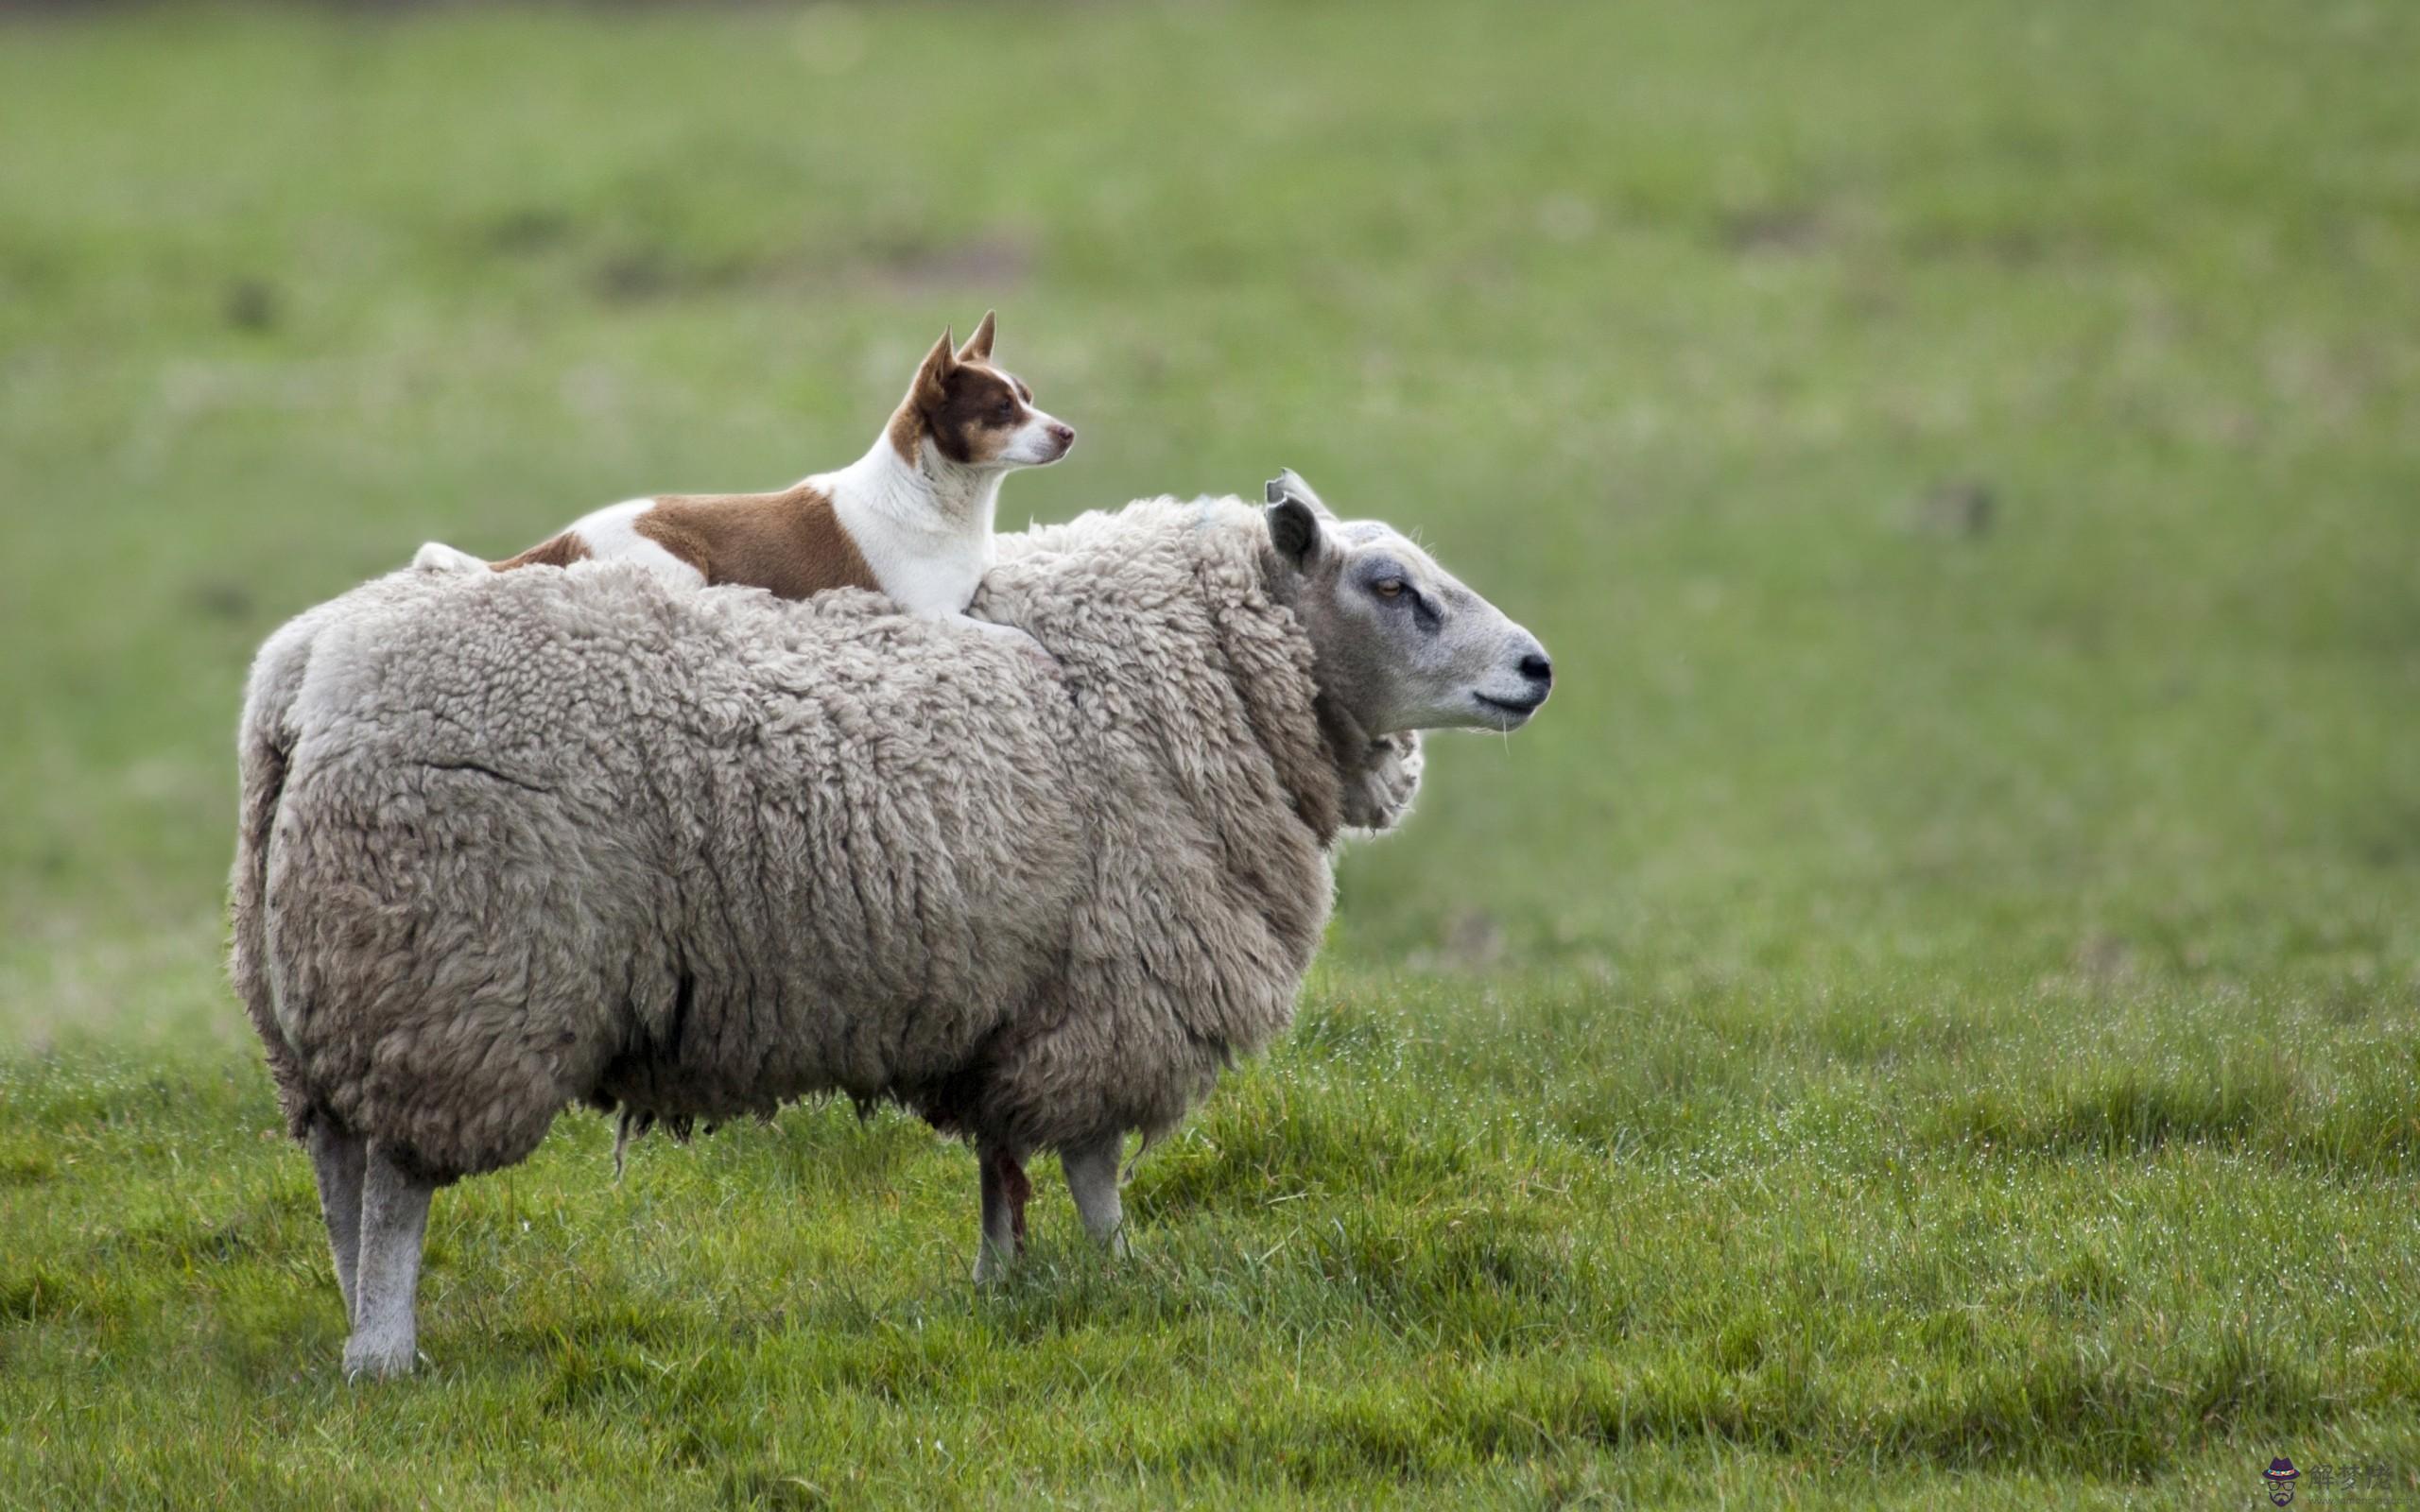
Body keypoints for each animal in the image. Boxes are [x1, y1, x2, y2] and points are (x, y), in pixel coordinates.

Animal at [227, 476, 1548, 1374]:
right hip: (446, 971)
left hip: (317, 982)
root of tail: (306, 675)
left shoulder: (1011, 997)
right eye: (1392, 587)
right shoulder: (1117, 987)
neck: (1195, 670)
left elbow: (1000, 1164)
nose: (1536, 668)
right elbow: (1092, 1163)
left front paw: (1003, 1287)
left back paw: (355, 1320)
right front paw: (1123, 1275)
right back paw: (387, 1351)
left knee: (340, 1165)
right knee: (397, 1180)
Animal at [416, 309, 1079, 624]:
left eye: (1029, 397)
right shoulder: (934, 618)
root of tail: (565, 537)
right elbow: (1023, 645)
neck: (942, 504)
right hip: (678, 571)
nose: (1069, 432)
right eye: (1001, 410)